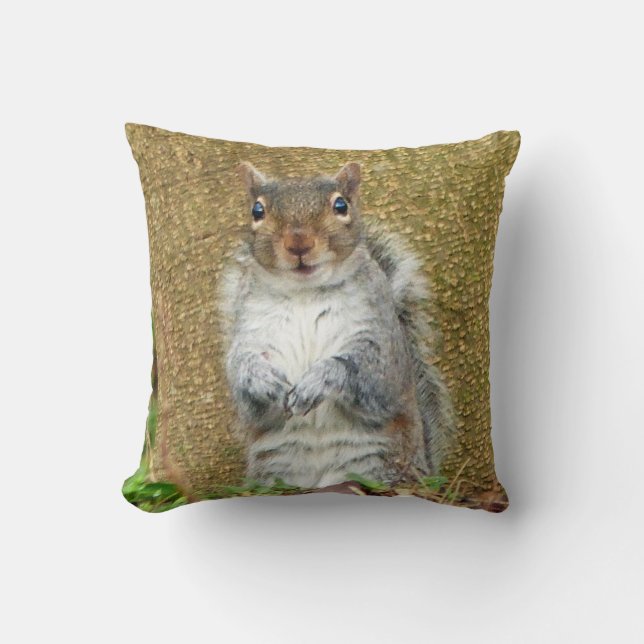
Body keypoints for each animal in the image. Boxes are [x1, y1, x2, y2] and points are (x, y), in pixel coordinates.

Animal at [218, 161, 455, 489]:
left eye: (341, 205)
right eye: (257, 211)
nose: (299, 243)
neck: (305, 292)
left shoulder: (381, 338)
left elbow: (369, 374)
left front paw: (319, 380)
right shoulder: (250, 331)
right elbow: (241, 377)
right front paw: (261, 378)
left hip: (380, 467)